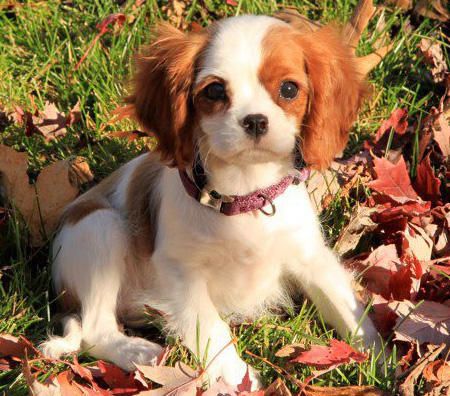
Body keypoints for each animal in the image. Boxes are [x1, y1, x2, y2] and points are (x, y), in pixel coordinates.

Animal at [42, 14, 380, 386]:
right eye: (215, 91)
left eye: (289, 89)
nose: (255, 121)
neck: (247, 194)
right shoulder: (180, 272)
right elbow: (211, 328)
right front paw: (238, 380)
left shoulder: (310, 255)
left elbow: (344, 304)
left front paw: (384, 359)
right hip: (99, 228)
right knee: (94, 331)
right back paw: (142, 354)